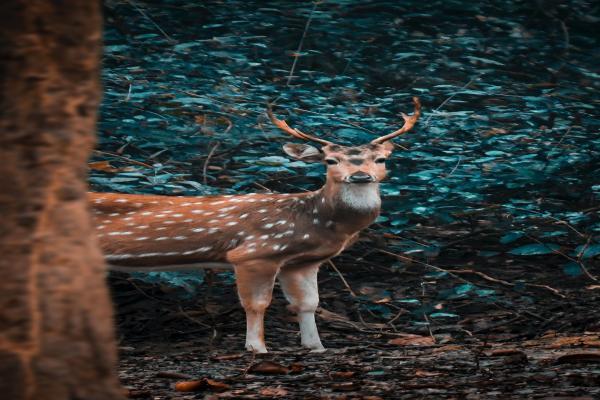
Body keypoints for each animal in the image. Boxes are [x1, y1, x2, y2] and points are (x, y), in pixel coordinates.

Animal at [92, 97, 422, 354]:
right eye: (330, 161)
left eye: (380, 159)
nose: (360, 176)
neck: (313, 219)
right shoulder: (254, 253)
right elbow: (257, 304)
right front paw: (257, 347)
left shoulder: (301, 262)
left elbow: (308, 304)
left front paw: (316, 346)